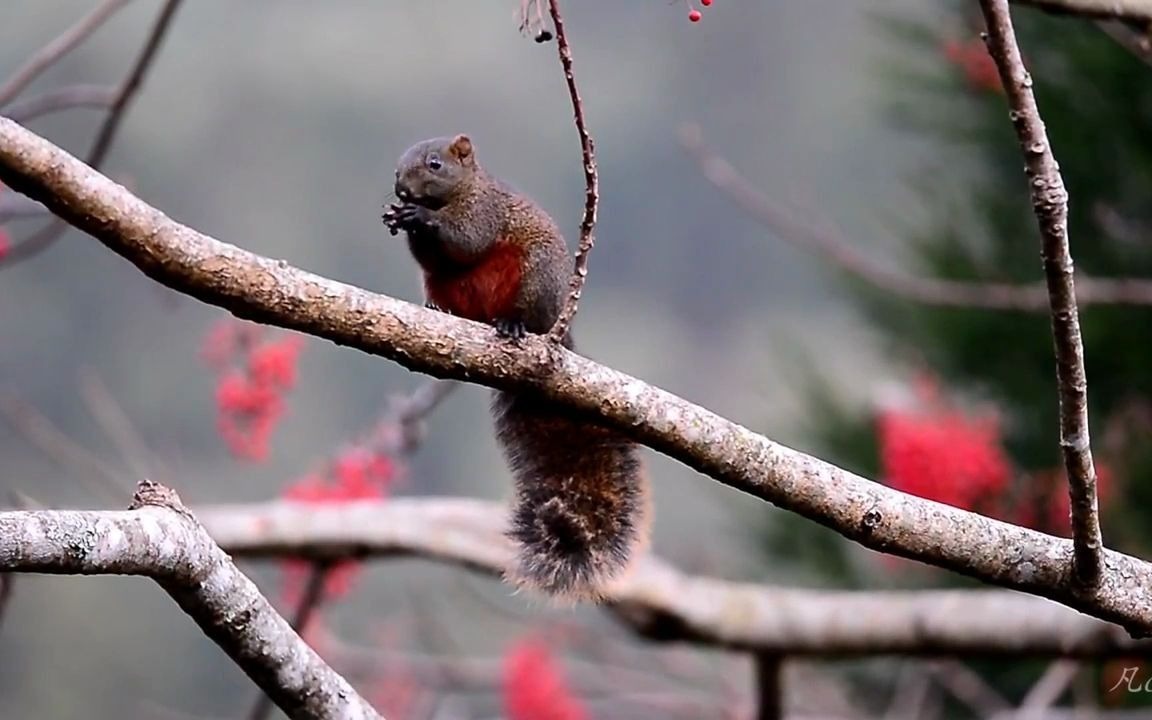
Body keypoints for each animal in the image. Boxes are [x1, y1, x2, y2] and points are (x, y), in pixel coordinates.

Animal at [380, 134, 645, 599]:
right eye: (398, 166)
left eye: (434, 164)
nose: (401, 189)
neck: (462, 191)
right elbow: (435, 259)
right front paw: (401, 216)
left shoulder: (484, 212)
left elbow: (466, 240)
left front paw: (419, 217)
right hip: (445, 288)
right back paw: (440, 310)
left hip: (533, 277)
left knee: (521, 313)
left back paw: (511, 323)